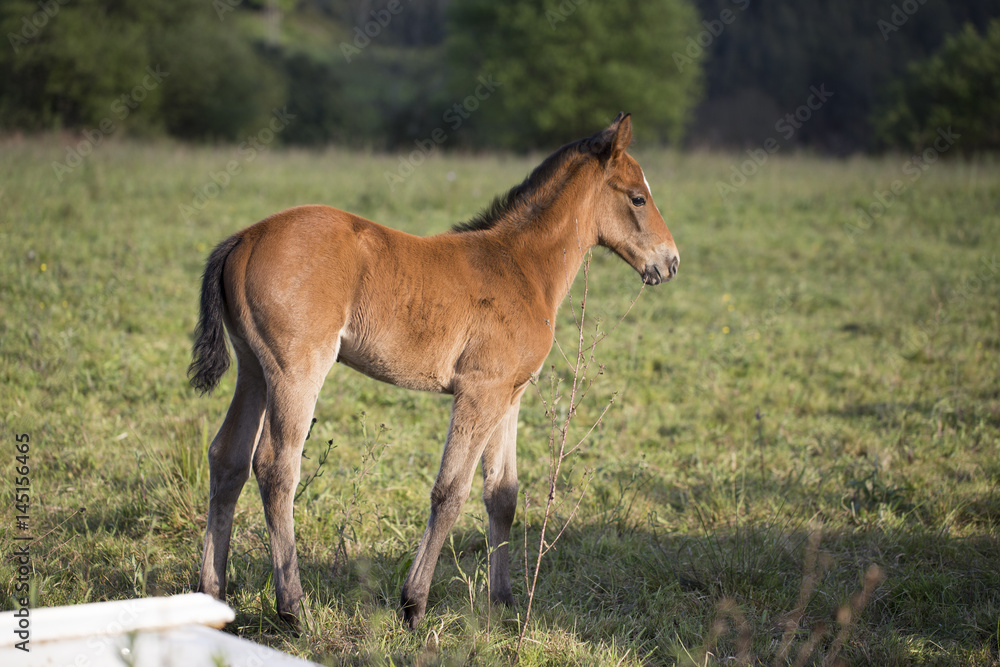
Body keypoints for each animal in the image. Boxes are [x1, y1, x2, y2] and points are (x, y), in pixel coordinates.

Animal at [189, 112, 680, 628]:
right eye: (638, 197)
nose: (670, 262)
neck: (521, 266)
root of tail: (245, 238)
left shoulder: (510, 394)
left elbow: (502, 494)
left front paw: (503, 603)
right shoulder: (479, 391)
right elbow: (450, 492)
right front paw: (413, 604)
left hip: (253, 370)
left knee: (227, 458)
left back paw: (212, 596)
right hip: (296, 370)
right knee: (275, 466)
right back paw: (294, 608)